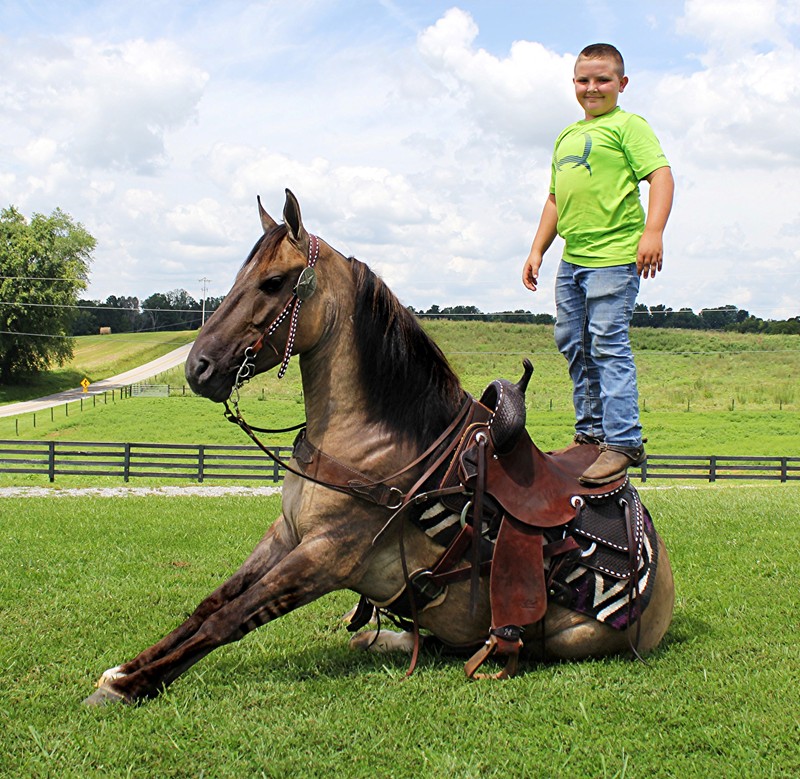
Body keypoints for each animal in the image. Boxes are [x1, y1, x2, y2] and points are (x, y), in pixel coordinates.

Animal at [84, 190, 674, 704]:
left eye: (273, 282)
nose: (198, 367)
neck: (376, 445)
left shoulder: (326, 557)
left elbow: (232, 618)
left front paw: (132, 687)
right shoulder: (286, 535)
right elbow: (211, 604)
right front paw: (124, 670)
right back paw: (379, 637)